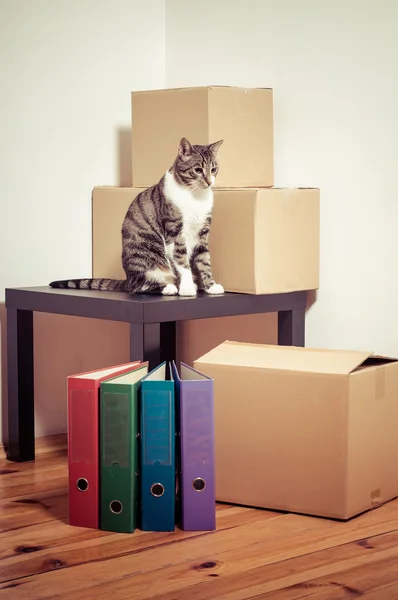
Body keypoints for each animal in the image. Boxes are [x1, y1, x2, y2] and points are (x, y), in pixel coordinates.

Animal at [49, 135, 224, 296]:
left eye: (213, 169)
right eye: (198, 170)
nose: (209, 182)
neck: (196, 196)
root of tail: (127, 279)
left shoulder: (202, 233)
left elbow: (204, 261)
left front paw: (211, 286)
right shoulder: (175, 233)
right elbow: (182, 262)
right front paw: (187, 288)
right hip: (147, 257)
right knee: (139, 287)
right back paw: (168, 287)